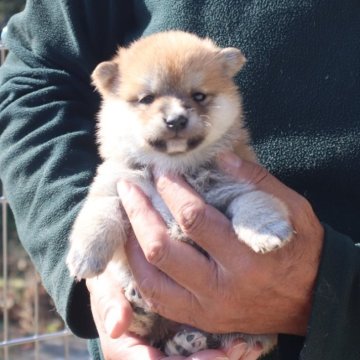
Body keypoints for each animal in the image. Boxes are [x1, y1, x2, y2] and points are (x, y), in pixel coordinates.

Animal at [66, 31, 294, 358]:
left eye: (198, 96)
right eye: (147, 99)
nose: (175, 120)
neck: (173, 166)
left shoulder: (235, 184)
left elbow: (252, 201)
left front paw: (267, 231)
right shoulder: (116, 187)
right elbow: (100, 215)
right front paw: (86, 254)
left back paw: (186, 339)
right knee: (149, 329)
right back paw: (142, 312)